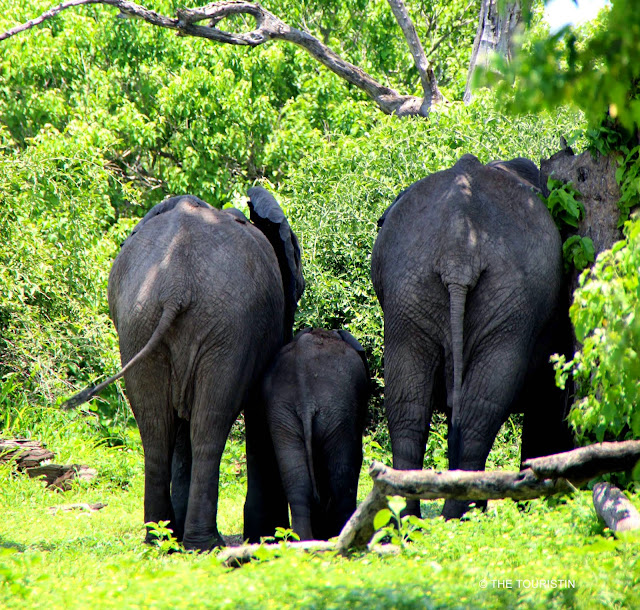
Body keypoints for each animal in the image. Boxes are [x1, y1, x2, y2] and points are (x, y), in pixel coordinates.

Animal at [63, 188, 304, 548]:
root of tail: (176, 286)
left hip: (144, 323)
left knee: (156, 427)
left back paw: (162, 539)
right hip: (223, 328)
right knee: (208, 426)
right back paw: (203, 543)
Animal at [262, 326, 370, 540]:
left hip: (282, 412)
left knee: (296, 478)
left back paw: (303, 540)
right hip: (337, 407)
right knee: (341, 473)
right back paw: (340, 533)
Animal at [370, 153, 576, 516]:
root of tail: (458, 248)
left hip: (411, 286)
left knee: (410, 405)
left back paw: (411, 519)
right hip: (508, 297)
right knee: (480, 409)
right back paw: (461, 515)